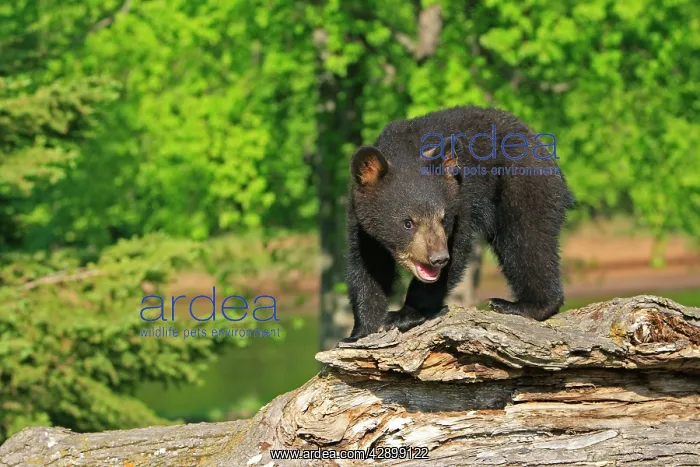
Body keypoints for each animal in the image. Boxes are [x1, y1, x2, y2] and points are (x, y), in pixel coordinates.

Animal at [345, 106, 576, 340]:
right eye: (407, 223)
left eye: (443, 218)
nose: (438, 258)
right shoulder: (360, 220)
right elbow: (368, 264)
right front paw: (361, 330)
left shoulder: (462, 199)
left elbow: (456, 251)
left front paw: (404, 314)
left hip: (524, 185)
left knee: (527, 241)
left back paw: (523, 305)